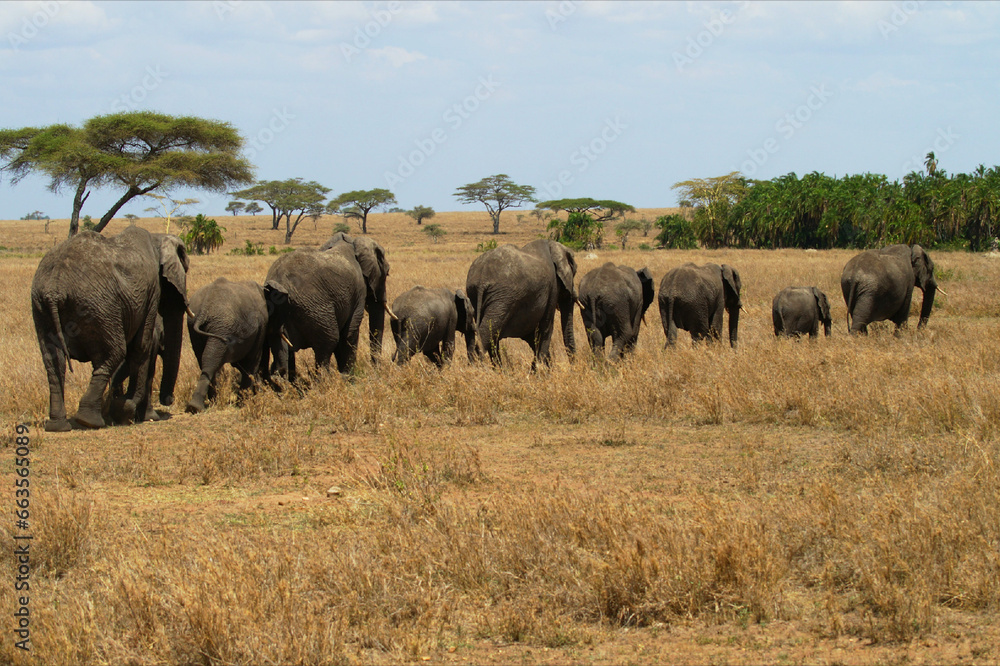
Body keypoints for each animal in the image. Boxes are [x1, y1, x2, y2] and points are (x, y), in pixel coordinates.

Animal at [31, 227, 190, 431]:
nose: (169, 400)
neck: (157, 237)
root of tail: (54, 288)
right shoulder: (152, 290)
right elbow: (141, 346)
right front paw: (126, 409)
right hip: (98, 306)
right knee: (114, 353)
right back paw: (90, 421)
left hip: (40, 304)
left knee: (53, 361)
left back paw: (58, 426)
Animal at [185, 277, 271, 413]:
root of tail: (205, 308)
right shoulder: (261, 326)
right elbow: (252, 361)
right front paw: (246, 400)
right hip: (223, 326)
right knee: (212, 359)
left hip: (199, 326)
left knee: (206, 359)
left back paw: (199, 405)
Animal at [264, 232, 391, 380]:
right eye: (387, 273)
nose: (377, 371)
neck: (354, 243)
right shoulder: (358, 291)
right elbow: (349, 332)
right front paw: (349, 378)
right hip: (314, 308)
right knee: (328, 341)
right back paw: (325, 380)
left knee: (284, 349)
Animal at [465, 239, 578, 370]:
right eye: (574, 271)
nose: (573, 369)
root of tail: (482, 278)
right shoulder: (552, 287)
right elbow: (546, 327)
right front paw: (541, 370)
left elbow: (532, 336)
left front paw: (538, 368)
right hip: (503, 298)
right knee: (487, 334)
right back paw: (479, 370)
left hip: (478, 294)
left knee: (492, 335)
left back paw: (499, 371)